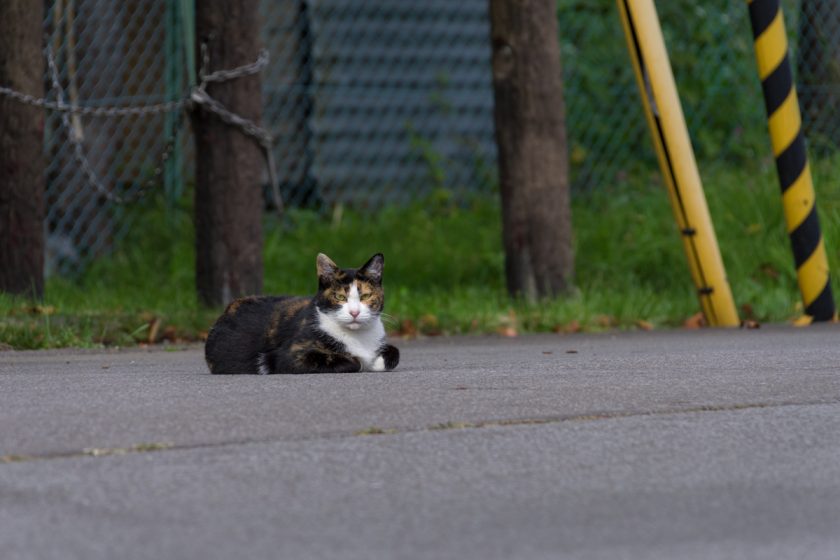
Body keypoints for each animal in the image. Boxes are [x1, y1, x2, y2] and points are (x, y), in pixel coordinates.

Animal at [204, 254, 400, 376]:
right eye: (339, 297)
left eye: (365, 296)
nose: (354, 312)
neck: (359, 338)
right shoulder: (288, 357)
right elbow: (354, 362)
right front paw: (363, 362)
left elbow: (395, 352)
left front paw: (376, 362)